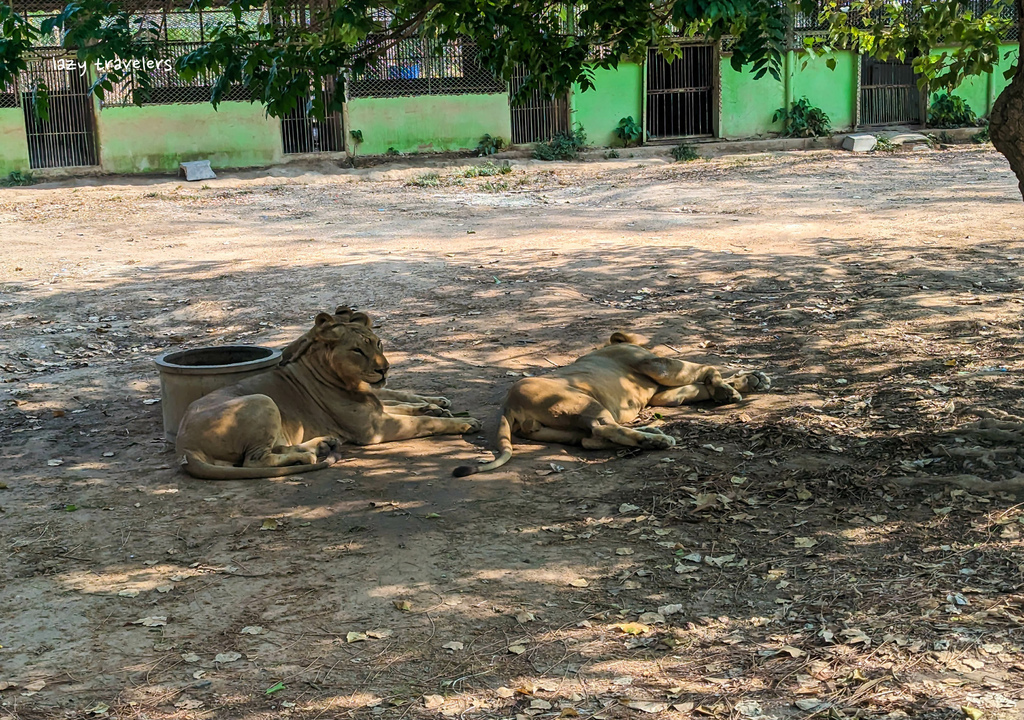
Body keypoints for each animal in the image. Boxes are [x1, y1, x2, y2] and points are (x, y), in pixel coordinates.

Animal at [178, 303, 481, 479]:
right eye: (357, 350)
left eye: (378, 343)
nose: (384, 369)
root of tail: (185, 445)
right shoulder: (375, 429)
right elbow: (424, 422)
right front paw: (465, 422)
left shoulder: (376, 406)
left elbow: (404, 401)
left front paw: (436, 404)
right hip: (261, 400)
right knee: (254, 462)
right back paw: (307, 455)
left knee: (276, 448)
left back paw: (322, 443)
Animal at [454, 333, 770, 479]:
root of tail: (508, 404)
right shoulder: (655, 364)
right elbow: (705, 368)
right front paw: (729, 389)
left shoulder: (660, 394)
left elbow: (699, 384)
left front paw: (750, 380)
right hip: (583, 401)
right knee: (604, 429)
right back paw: (657, 440)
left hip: (562, 427)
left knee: (590, 440)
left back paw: (649, 436)